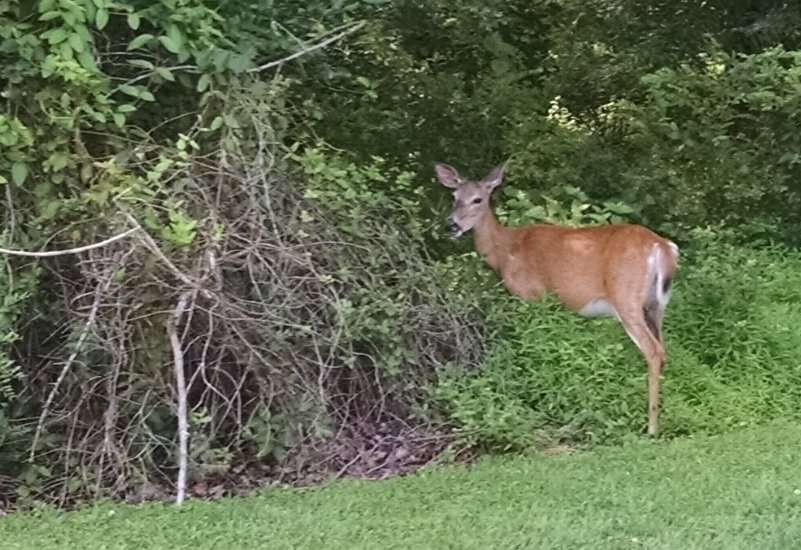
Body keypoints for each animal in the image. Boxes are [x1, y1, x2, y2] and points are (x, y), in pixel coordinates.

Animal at [434, 162, 680, 438]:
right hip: (656, 305)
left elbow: (531, 346)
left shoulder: (529, 294)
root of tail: (662, 246)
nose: (452, 225)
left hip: (626, 297)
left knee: (653, 351)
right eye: (454, 197)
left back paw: (651, 428)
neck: (505, 250)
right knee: (664, 349)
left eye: (477, 199)